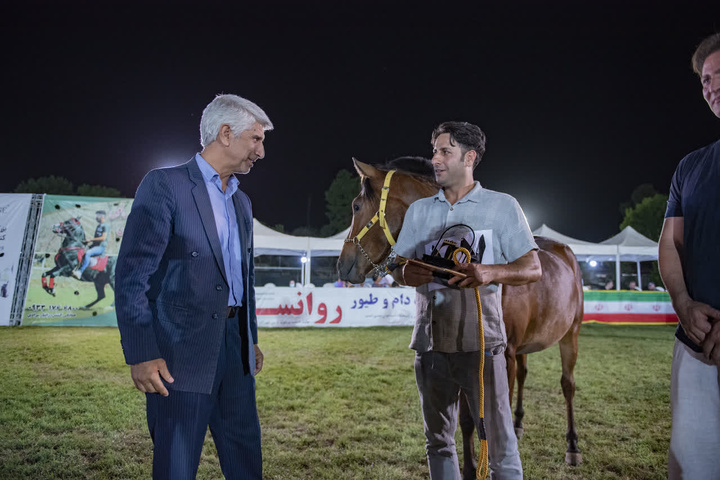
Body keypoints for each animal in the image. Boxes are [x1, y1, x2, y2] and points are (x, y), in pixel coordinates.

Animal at [338, 158, 584, 476]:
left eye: (356, 206)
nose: (342, 264)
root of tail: (566, 252)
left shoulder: (500, 357)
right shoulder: (478, 359)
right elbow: (468, 421)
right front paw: (469, 468)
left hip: (570, 335)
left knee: (567, 385)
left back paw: (572, 445)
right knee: (525, 376)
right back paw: (519, 424)